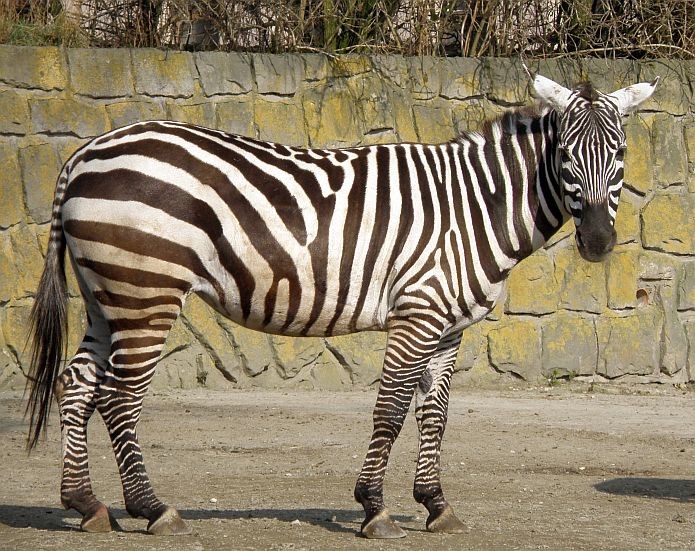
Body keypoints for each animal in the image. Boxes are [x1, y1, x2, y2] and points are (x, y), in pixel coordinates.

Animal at [25, 70, 657, 539]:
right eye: (566, 154)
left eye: (620, 152)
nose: (598, 242)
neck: (475, 207)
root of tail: (84, 153)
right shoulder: (418, 310)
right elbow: (392, 409)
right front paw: (374, 507)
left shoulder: (449, 325)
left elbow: (434, 414)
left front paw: (435, 505)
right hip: (146, 289)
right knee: (120, 397)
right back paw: (154, 510)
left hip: (107, 294)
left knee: (76, 384)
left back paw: (86, 504)